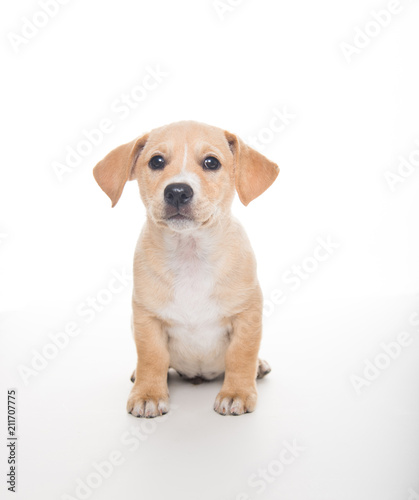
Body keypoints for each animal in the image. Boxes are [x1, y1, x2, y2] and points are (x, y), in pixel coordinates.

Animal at [93, 121, 280, 418]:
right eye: (156, 161)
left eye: (211, 162)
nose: (178, 191)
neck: (190, 254)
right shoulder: (146, 319)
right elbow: (152, 358)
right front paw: (148, 394)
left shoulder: (246, 316)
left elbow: (241, 356)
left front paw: (236, 392)